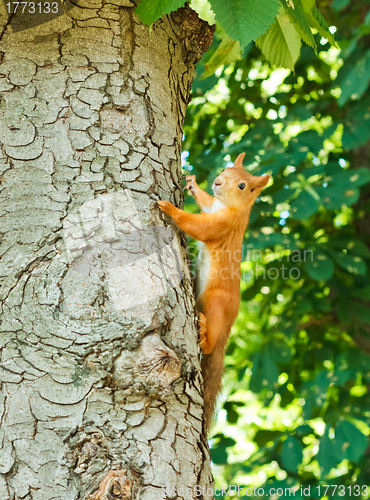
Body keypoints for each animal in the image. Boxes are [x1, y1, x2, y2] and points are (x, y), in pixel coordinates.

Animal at [158, 153, 270, 434]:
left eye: (242, 185)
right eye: (223, 170)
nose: (217, 182)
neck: (230, 207)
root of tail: (228, 329)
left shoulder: (222, 224)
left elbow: (199, 227)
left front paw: (171, 209)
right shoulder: (213, 208)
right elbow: (206, 202)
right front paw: (193, 183)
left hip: (216, 301)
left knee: (208, 347)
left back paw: (205, 333)